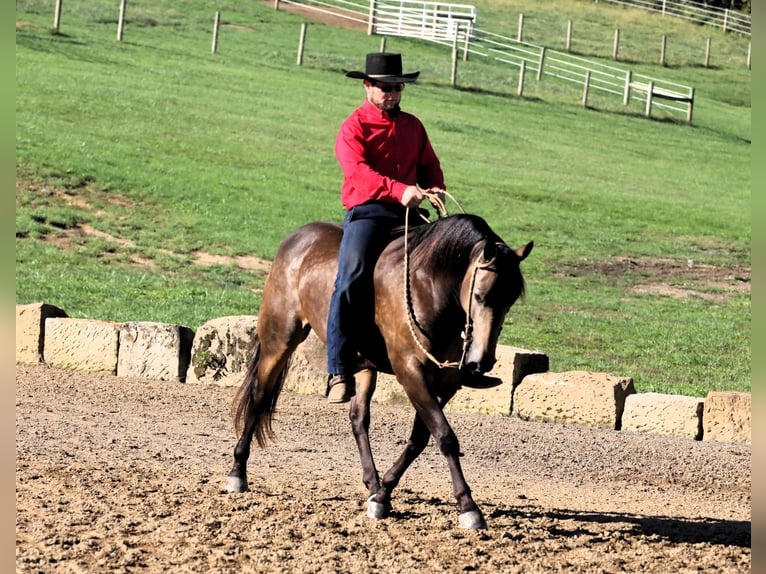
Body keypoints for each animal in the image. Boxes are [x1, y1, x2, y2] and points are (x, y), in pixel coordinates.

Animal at [225, 213, 532, 532]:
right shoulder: (411, 372)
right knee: (259, 397)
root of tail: (296, 238)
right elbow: (445, 436)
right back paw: (237, 472)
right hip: (279, 340)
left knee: (358, 419)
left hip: (363, 366)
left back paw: (371, 483)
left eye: (510, 301)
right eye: (480, 296)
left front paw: (383, 493)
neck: (430, 288)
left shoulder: (444, 384)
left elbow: (421, 438)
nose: (482, 362)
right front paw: (468, 506)